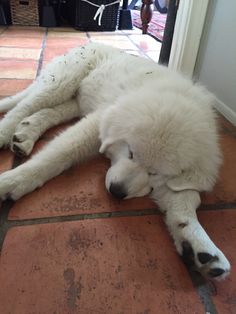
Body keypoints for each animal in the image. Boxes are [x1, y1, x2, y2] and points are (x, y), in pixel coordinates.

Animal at [0, 43, 230, 278]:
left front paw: (201, 246)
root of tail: (93, 44)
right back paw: (5, 132)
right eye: (130, 153)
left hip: (76, 100)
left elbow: (184, 198)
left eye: (155, 173)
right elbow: (60, 152)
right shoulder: (98, 121)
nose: (117, 192)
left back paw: (26, 133)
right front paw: (14, 181)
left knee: (51, 111)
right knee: (22, 106)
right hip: (61, 82)